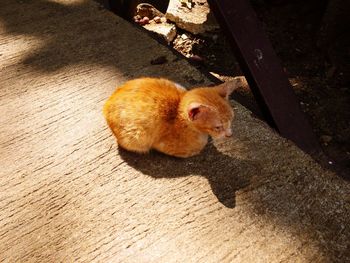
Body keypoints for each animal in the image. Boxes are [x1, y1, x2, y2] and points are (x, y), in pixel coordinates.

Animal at [104, 77, 245, 158]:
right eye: (218, 127)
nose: (229, 135)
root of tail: (107, 103)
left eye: (231, 120)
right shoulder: (161, 144)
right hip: (136, 137)